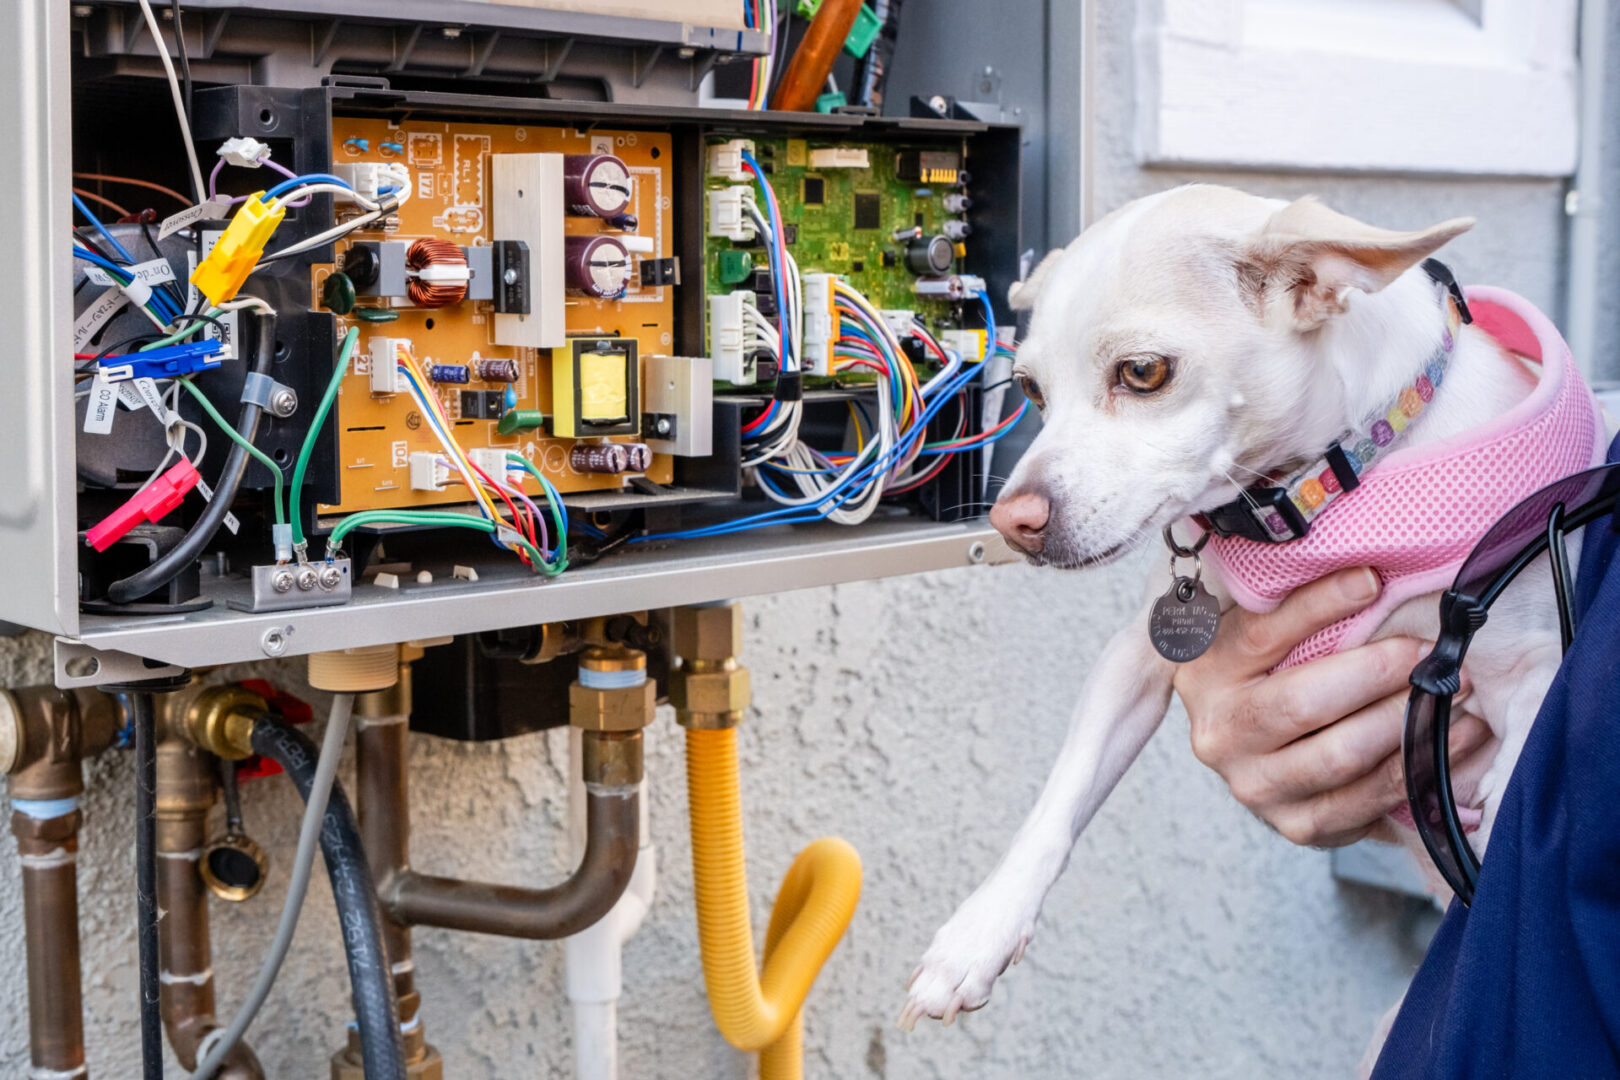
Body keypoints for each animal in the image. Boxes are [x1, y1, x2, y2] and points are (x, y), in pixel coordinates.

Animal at [900, 186, 1607, 1049]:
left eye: (1142, 372)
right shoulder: (1134, 663)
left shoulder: (1527, 663)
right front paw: (978, 935)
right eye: (1031, 391)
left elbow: (1524, 761)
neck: (1322, 494)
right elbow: (1058, 801)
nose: (1012, 520)